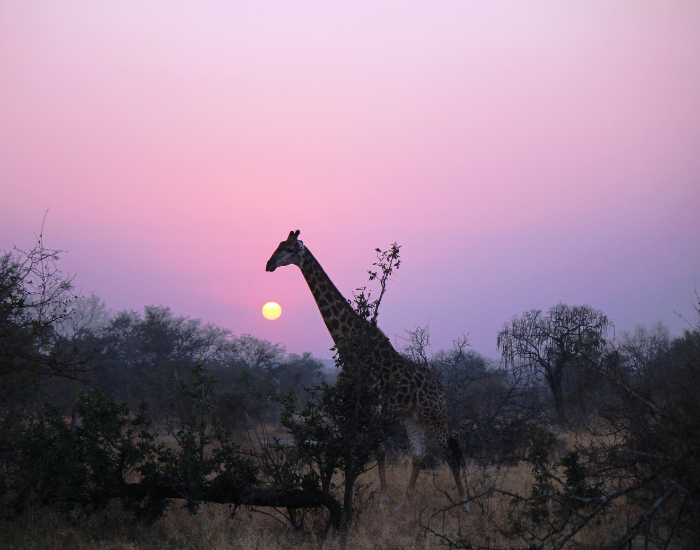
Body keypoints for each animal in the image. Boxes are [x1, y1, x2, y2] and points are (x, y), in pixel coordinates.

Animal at [266, 230, 469, 510]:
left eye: (288, 248)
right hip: (412, 415)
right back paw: (405, 503)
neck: (349, 351)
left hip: (435, 413)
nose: (269, 264)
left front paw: (382, 501)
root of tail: (440, 387)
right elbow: (350, 449)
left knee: (448, 451)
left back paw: (464, 505)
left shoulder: (373, 407)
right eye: (278, 245)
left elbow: (378, 450)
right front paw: (352, 499)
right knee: (419, 454)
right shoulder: (351, 406)